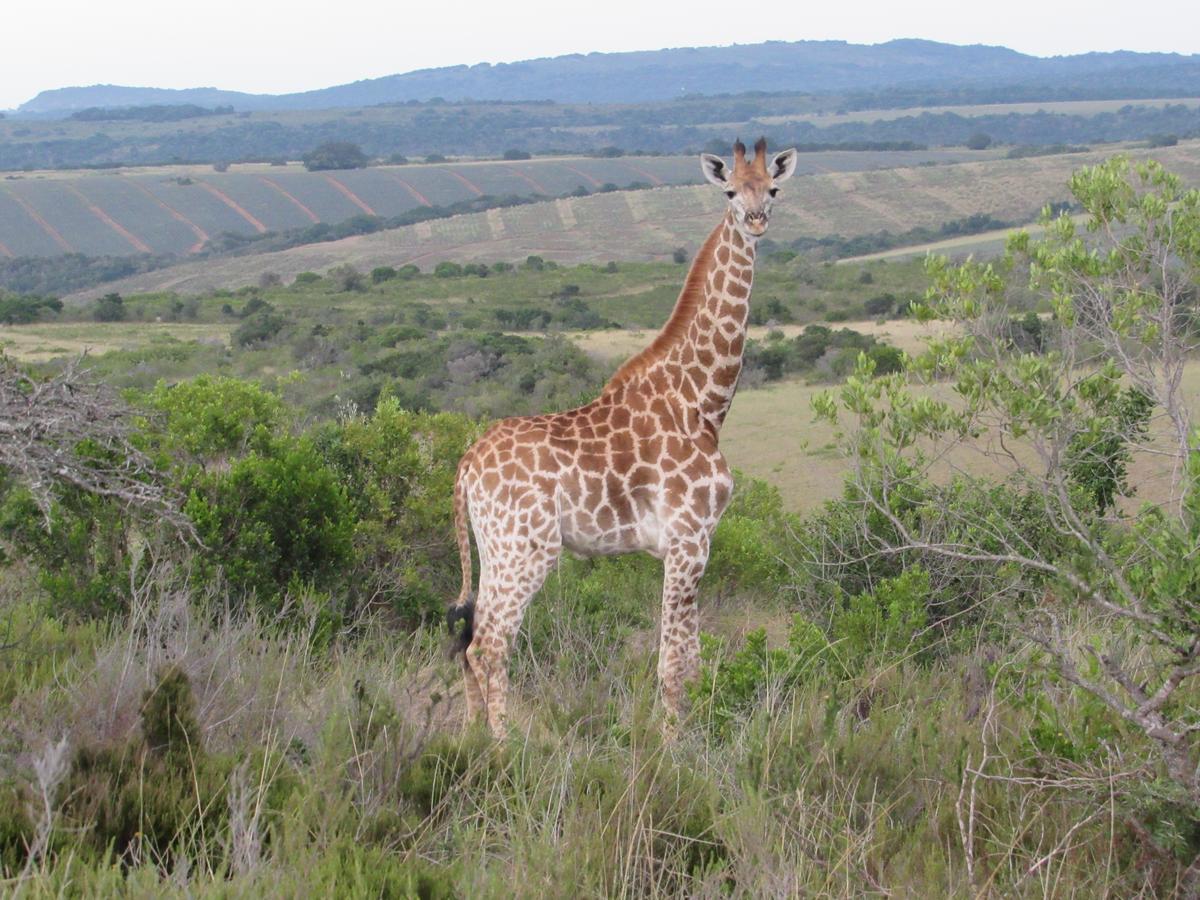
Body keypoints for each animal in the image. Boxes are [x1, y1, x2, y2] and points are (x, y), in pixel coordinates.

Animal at [446, 137, 792, 734]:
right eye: (728, 191)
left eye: (771, 187)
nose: (755, 220)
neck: (702, 402)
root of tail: (467, 463)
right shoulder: (688, 539)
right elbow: (674, 663)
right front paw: (676, 745)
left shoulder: (691, 543)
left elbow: (690, 658)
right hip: (528, 550)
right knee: (489, 644)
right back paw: (506, 744)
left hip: (493, 549)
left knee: (472, 640)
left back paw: (469, 739)